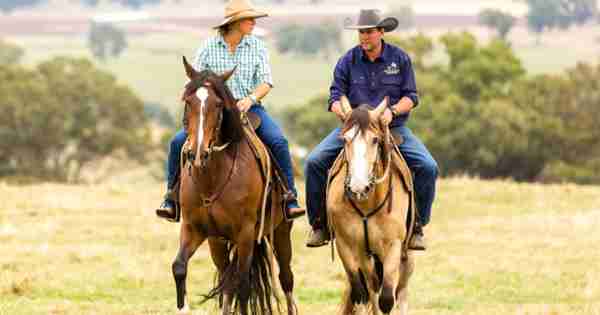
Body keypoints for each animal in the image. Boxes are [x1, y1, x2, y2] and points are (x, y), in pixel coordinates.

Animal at [170, 56, 296, 315]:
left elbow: (244, 285)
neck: (212, 179)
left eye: (218, 104)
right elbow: (179, 268)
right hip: (219, 242)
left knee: (286, 278)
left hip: (279, 232)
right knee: (227, 279)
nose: (198, 153)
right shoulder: (195, 229)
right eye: (188, 101)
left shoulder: (246, 233)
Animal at [326, 97, 414, 315]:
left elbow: (387, 299)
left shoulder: (393, 246)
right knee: (372, 286)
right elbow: (361, 295)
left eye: (375, 140)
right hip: (367, 257)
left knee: (401, 292)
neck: (367, 203)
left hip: (407, 258)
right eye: (344, 139)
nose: (358, 186)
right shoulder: (347, 246)